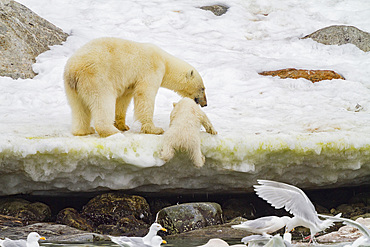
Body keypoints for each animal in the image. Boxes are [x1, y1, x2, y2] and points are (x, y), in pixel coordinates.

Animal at [64, 37, 208, 137]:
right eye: (203, 88)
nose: (205, 103)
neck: (166, 62)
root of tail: (74, 71)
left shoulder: (129, 83)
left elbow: (123, 99)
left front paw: (123, 125)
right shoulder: (151, 69)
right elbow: (145, 96)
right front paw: (155, 129)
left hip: (72, 88)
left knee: (78, 108)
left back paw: (84, 130)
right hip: (97, 79)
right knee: (102, 102)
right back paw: (110, 131)